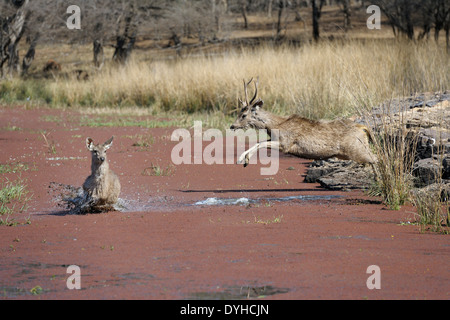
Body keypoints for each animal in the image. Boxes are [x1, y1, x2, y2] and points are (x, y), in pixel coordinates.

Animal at [229, 78, 376, 170]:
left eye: (243, 115)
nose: (232, 126)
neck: (275, 125)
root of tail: (363, 127)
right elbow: (259, 142)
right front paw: (244, 160)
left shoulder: (286, 144)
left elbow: (260, 143)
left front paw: (243, 160)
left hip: (357, 149)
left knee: (376, 159)